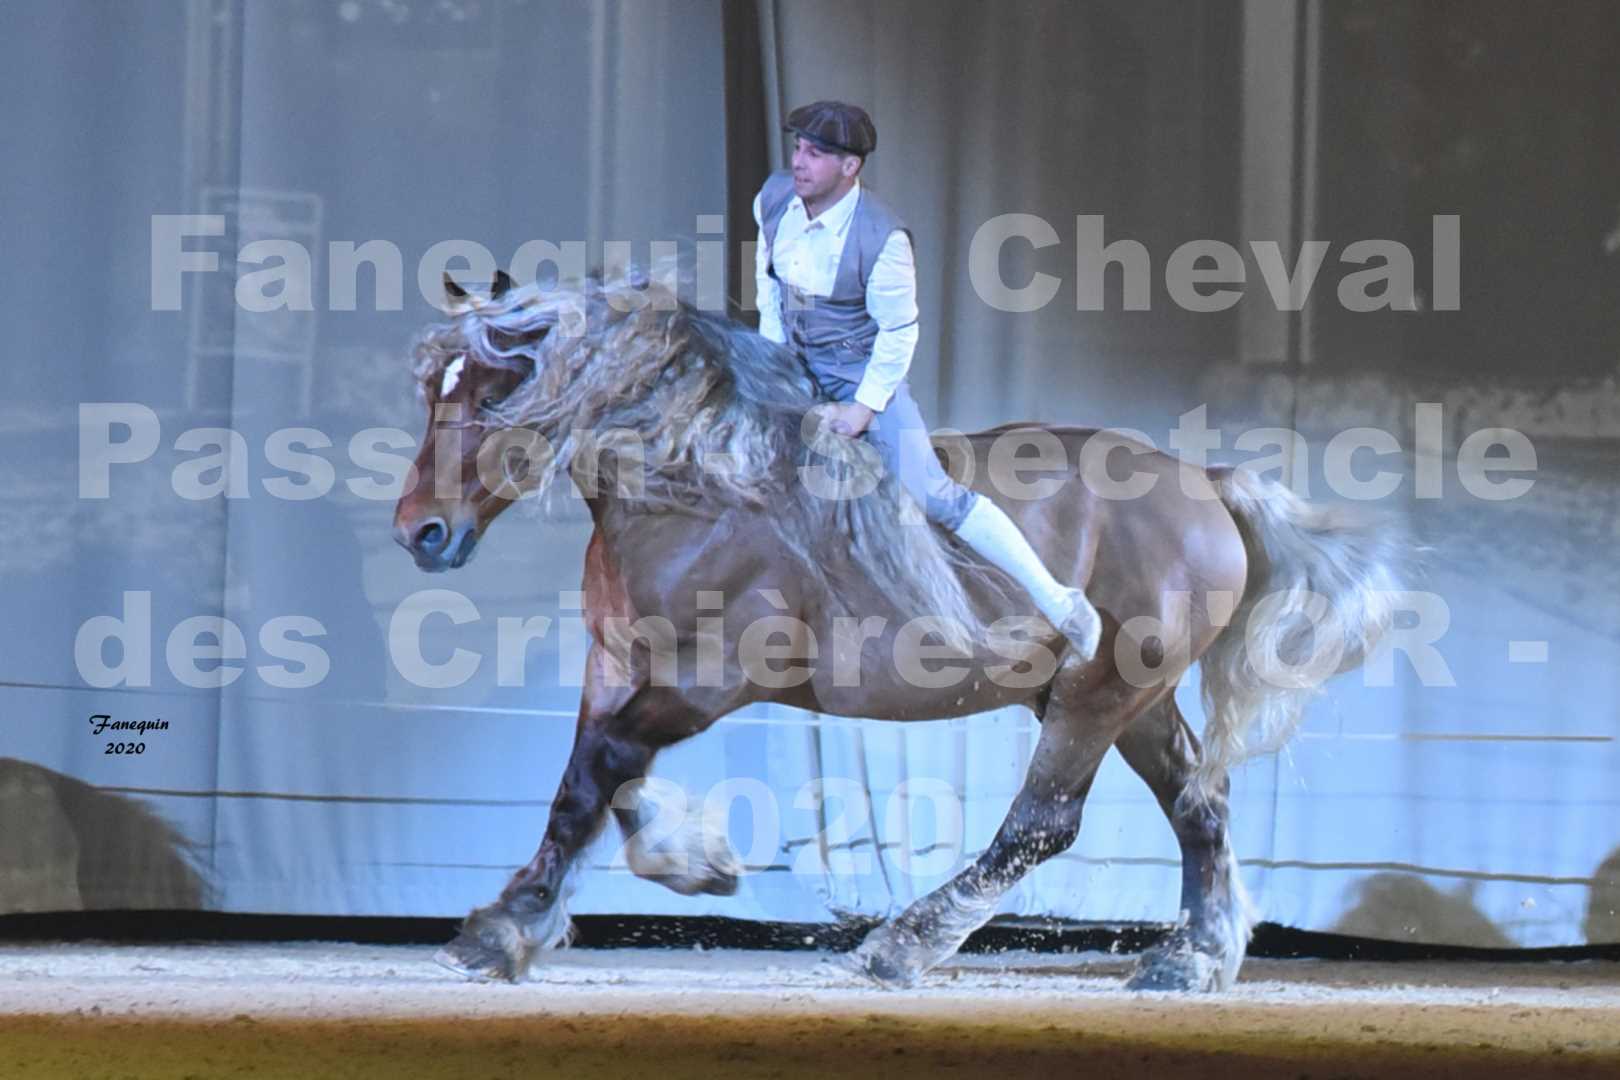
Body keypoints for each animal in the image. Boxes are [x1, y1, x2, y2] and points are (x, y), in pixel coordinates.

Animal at [395, 268, 1406, 990]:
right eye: (435, 392)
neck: (698, 490)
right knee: (1200, 803)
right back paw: (1189, 960)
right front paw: (562, 906)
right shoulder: (615, 667)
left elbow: (606, 768)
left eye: (493, 396)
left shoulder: (711, 677)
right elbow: (587, 786)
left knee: (1043, 823)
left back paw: (900, 946)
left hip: (1099, 692)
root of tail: (1206, 484)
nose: (420, 534)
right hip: (1138, 700)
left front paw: (528, 919)